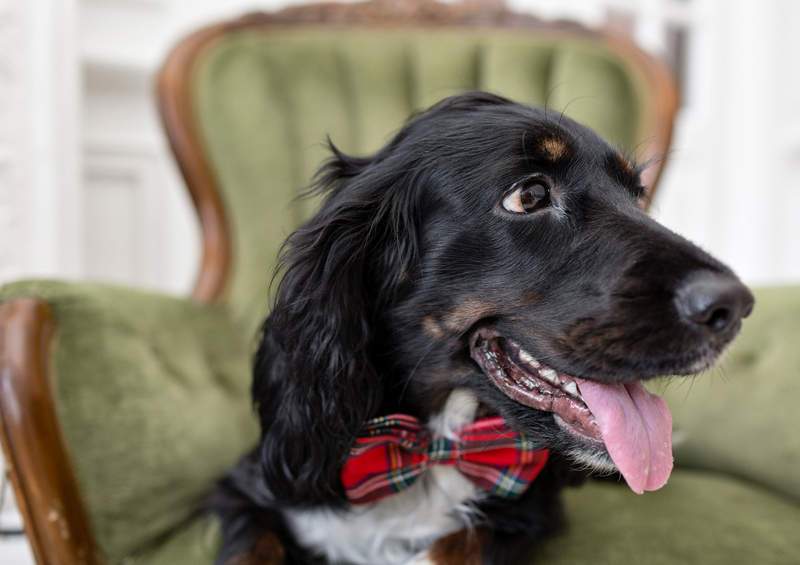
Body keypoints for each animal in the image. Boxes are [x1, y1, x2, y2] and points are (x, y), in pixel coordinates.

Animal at [209, 90, 752, 560]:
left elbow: (458, 543)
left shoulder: (529, 512)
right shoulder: (250, 490)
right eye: (529, 195)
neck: (430, 446)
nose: (734, 306)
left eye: (637, 198)